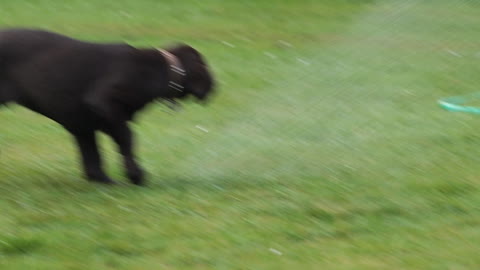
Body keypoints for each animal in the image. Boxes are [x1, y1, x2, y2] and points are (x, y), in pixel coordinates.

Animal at [0, 29, 214, 186]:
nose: (215, 86)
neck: (162, 68)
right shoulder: (103, 103)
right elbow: (127, 138)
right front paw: (135, 175)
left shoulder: (82, 127)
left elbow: (93, 156)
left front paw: (102, 180)